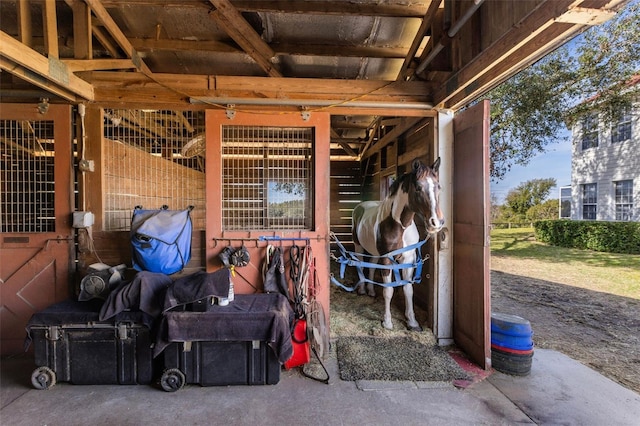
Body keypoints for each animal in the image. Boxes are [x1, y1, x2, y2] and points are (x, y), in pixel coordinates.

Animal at [350, 158, 444, 332]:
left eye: (438, 186)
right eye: (418, 187)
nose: (436, 222)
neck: (400, 226)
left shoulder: (408, 259)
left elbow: (408, 290)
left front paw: (412, 322)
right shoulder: (387, 259)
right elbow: (388, 290)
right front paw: (387, 322)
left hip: (375, 252)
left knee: (371, 267)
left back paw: (371, 291)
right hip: (358, 246)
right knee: (360, 264)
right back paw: (362, 289)